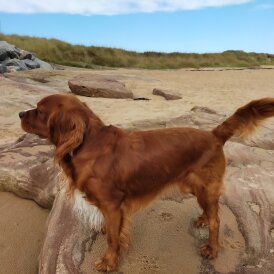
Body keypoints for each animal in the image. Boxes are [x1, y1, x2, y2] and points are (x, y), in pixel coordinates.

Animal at [19, 94, 274, 272]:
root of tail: (214, 135)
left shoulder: (112, 205)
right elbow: (113, 230)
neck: (88, 143)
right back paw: (202, 218)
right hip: (196, 187)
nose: (20, 114)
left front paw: (108, 261)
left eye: (40, 111)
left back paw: (212, 249)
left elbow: (113, 238)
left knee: (216, 220)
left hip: (205, 187)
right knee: (211, 210)